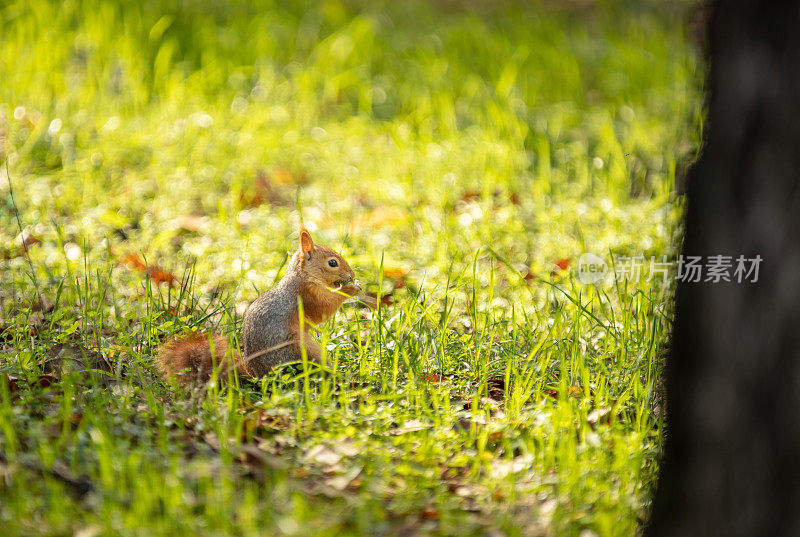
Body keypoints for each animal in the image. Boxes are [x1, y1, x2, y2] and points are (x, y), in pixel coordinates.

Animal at [156, 228, 362, 384]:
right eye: (332, 263)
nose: (351, 275)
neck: (302, 277)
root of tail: (257, 377)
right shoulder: (308, 297)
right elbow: (325, 307)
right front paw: (351, 289)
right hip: (306, 350)